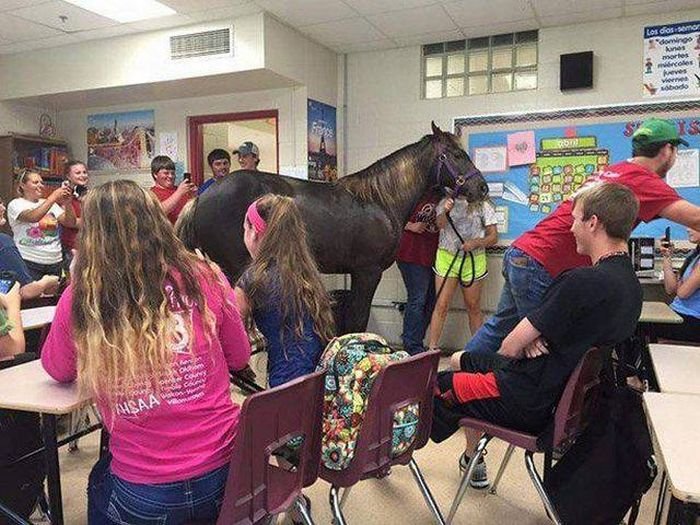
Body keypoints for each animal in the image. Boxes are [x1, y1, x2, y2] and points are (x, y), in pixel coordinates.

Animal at [179, 122, 486, 332]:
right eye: (456, 154)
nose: (481, 188)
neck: (379, 200)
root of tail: (201, 197)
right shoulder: (367, 272)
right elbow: (358, 320)